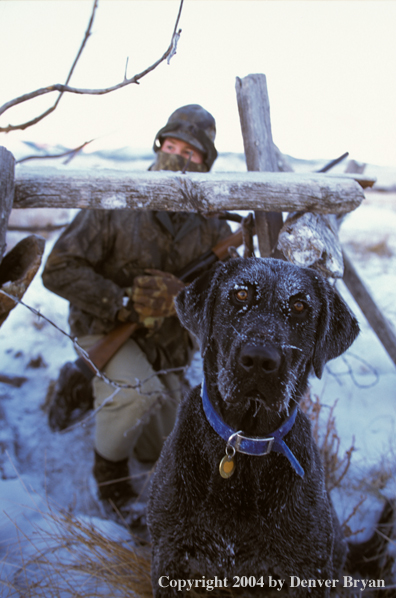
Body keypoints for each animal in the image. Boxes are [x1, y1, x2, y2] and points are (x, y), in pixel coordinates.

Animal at [148, 258, 358, 598]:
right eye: (241, 294)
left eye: (299, 306)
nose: (260, 359)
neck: (245, 440)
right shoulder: (169, 555)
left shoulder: (308, 571)